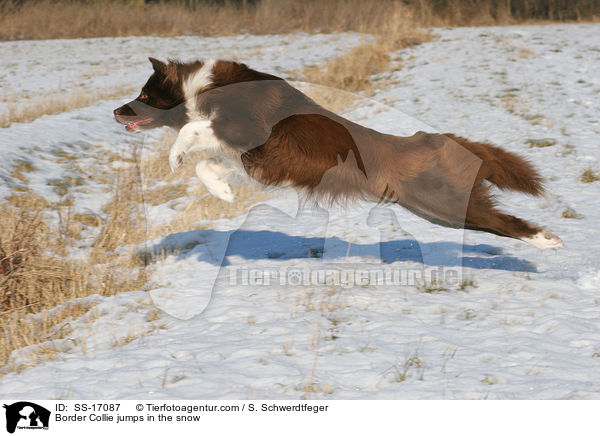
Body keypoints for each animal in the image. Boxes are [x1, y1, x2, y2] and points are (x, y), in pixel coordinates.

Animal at [115, 57, 564, 249]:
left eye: (144, 95)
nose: (116, 112)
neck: (203, 86)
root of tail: (433, 139)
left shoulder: (250, 131)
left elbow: (192, 128)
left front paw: (175, 156)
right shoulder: (243, 153)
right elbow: (208, 164)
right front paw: (222, 193)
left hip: (445, 203)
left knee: (506, 221)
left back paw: (549, 241)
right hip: (436, 210)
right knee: (496, 223)